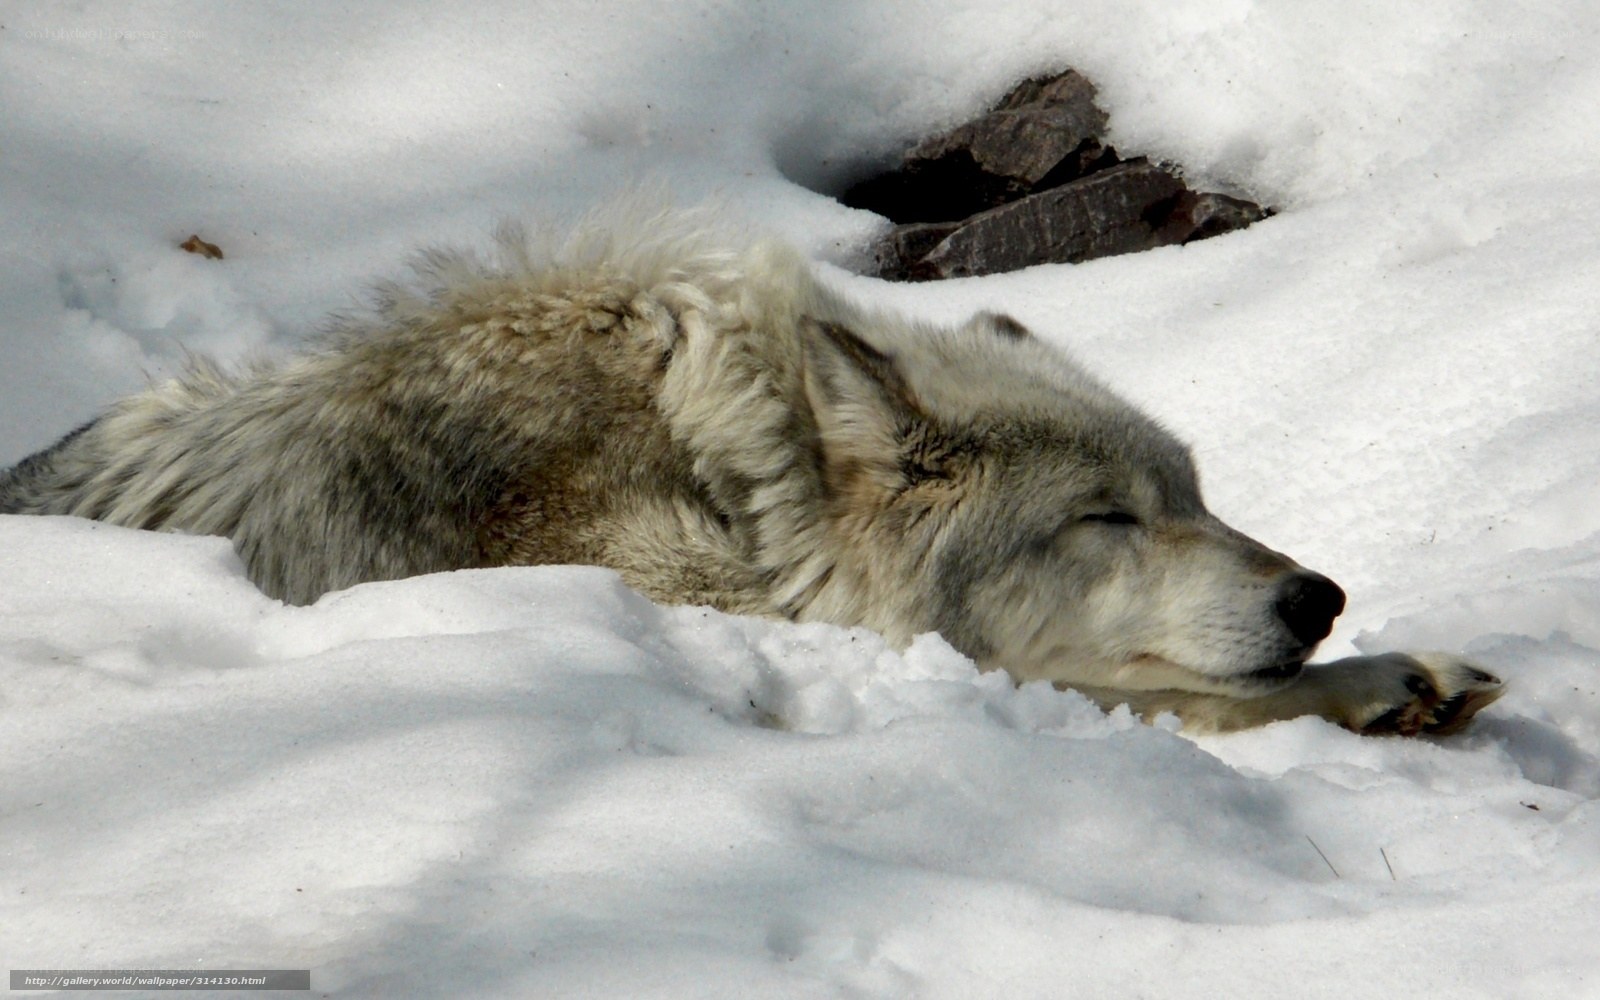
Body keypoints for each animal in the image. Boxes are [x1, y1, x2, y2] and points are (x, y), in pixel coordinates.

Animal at [0, 203, 1502, 734]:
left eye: (1196, 499)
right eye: (1106, 518)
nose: (1318, 596)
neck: (734, 483)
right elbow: (1146, 691)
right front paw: (1377, 682)